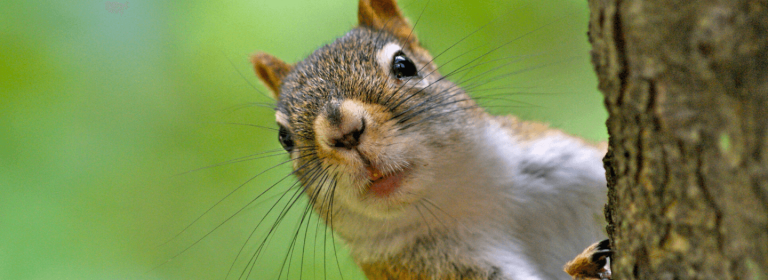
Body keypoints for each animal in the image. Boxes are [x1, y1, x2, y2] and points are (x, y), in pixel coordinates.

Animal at [252, 0, 612, 280]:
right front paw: (585, 267)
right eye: (284, 138)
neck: (464, 201)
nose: (343, 131)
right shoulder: (437, 267)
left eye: (404, 64)